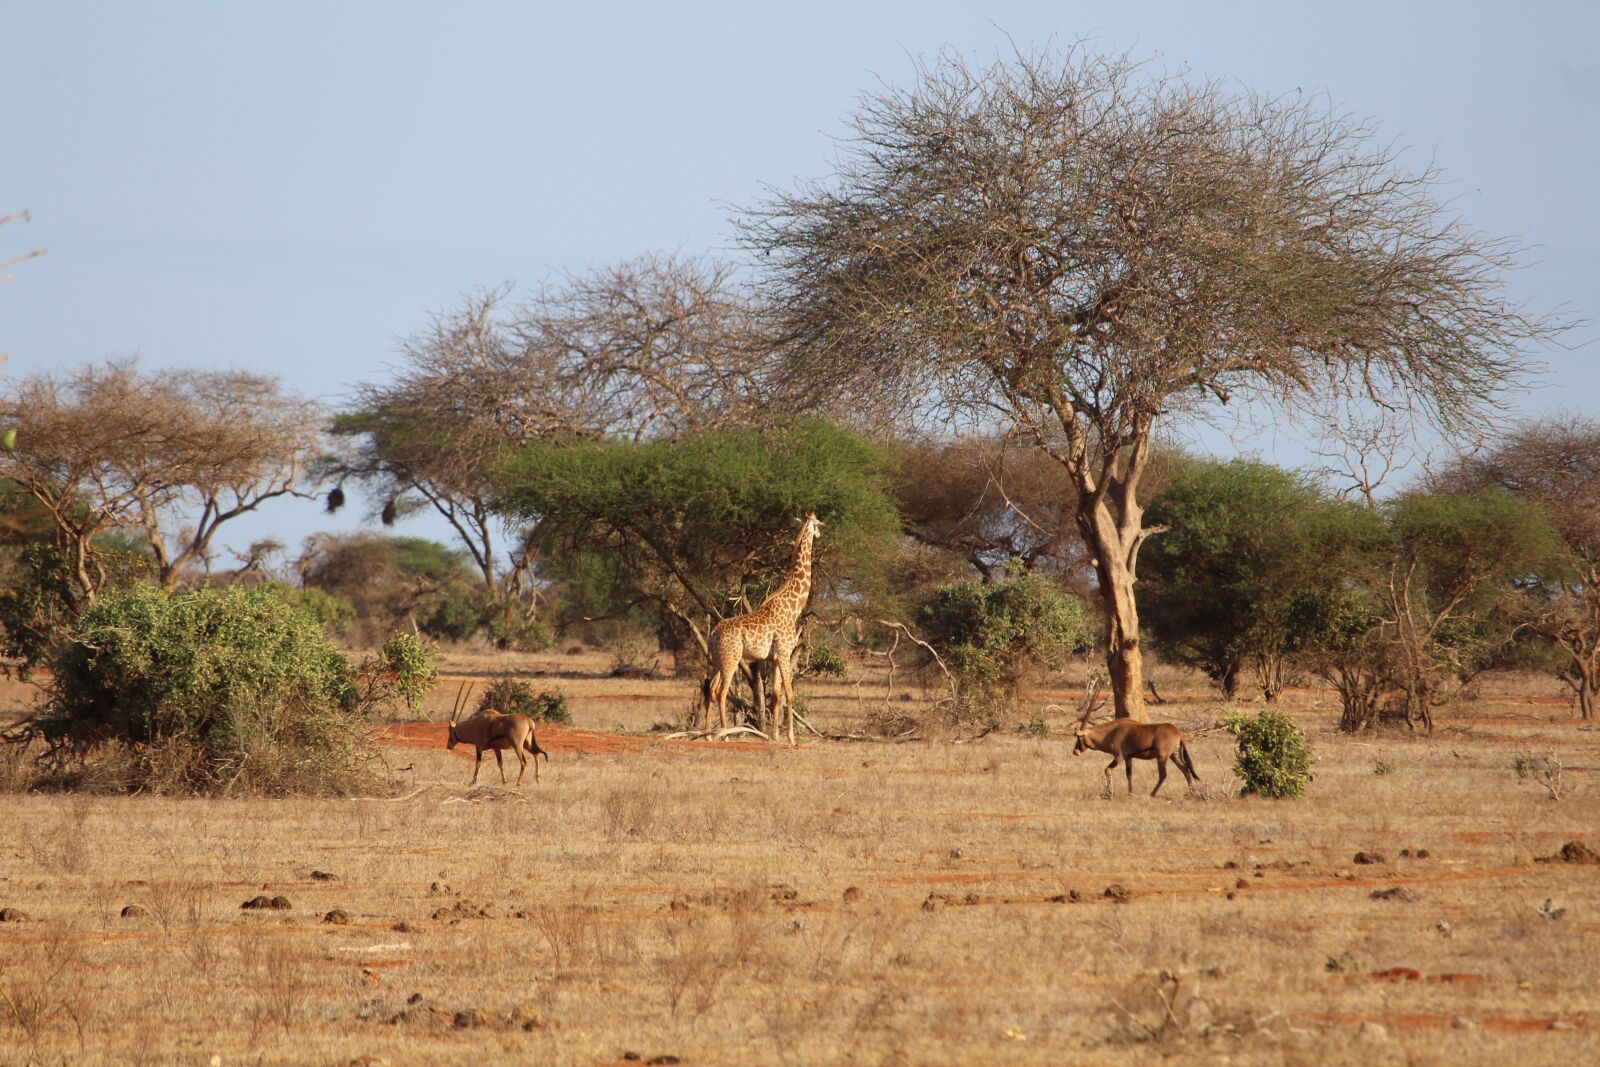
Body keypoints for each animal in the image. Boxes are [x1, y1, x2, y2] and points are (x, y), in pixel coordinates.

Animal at [703, 513, 823, 744]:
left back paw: (706, 735)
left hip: (717, 661)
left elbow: (776, 695)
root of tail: (713, 634)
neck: (794, 606)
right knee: (721, 692)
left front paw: (774, 736)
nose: (820, 533)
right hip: (731, 659)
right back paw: (724, 735)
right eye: (818, 523)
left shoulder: (775, 658)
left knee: (711, 690)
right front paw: (791, 739)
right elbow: (789, 695)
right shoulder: (785, 652)